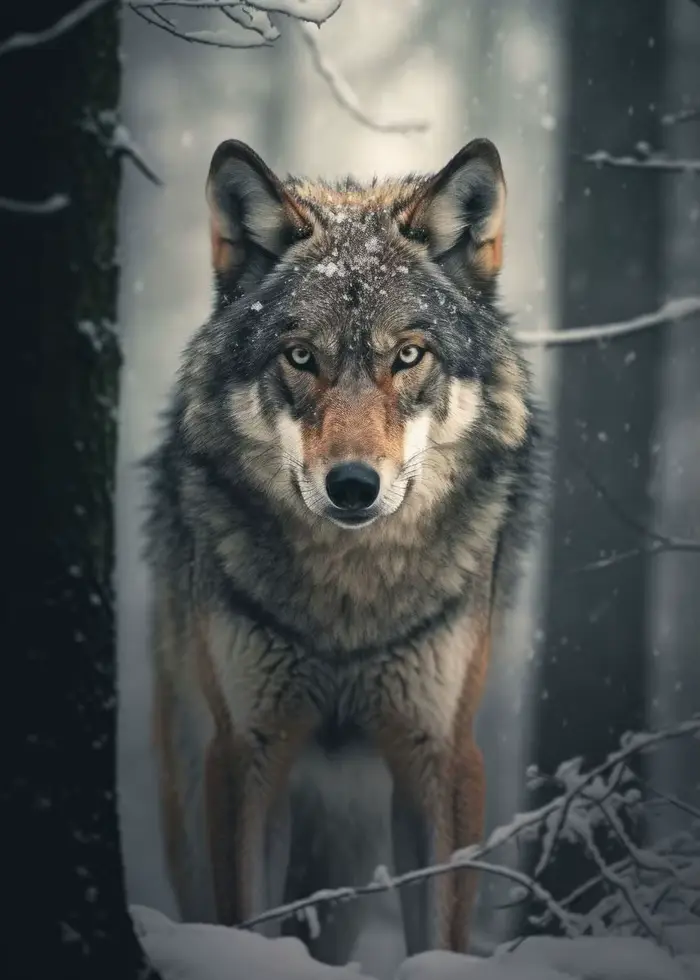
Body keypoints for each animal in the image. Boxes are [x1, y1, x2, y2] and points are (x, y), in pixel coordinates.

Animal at [143, 136, 546, 965]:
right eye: (300, 357)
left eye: (409, 355)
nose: (354, 485)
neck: (347, 602)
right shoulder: (244, 752)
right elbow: (245, 918)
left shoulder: (443, 753)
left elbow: (442, 934)